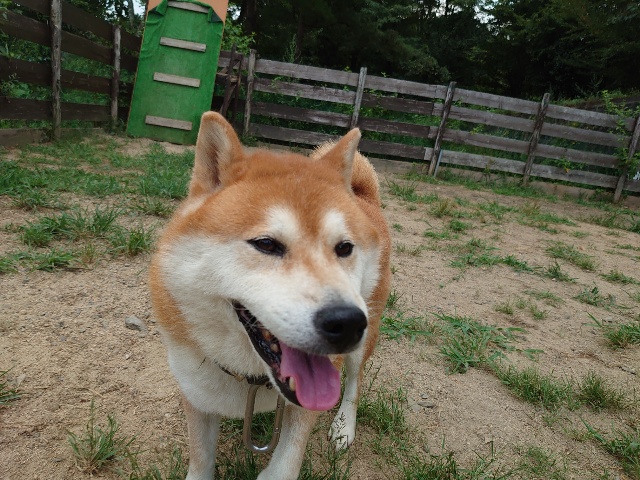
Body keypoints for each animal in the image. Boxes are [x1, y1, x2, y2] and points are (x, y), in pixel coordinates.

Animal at [149, 112, 391, 479]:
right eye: (266, 244)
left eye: (344, 248)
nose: (347, 323)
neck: (251, 377)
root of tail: (365, 198)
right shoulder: (195, 395)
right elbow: (201, 461)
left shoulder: (302, 410)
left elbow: (285, 465)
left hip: (368, 329)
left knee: (353, 382)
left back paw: (343, 427)